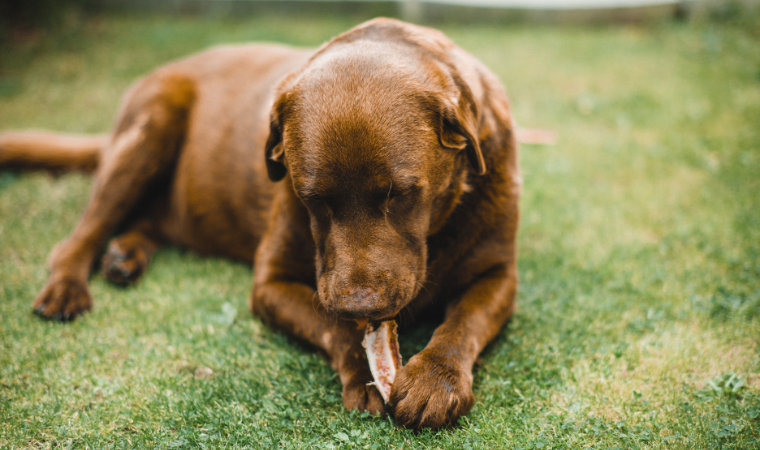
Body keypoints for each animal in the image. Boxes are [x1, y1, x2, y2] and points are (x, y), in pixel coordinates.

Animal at [0, 19, 520, 430]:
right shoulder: (270, 282)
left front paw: (435, 380)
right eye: (312, 199)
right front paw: (365, 373)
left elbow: (464, 323)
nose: (359, 306)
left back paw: (124, 256)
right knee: (79, 236)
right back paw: (68, 287)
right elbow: (331, 326)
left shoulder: (499, 276)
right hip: (150, 127)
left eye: (401, 194)